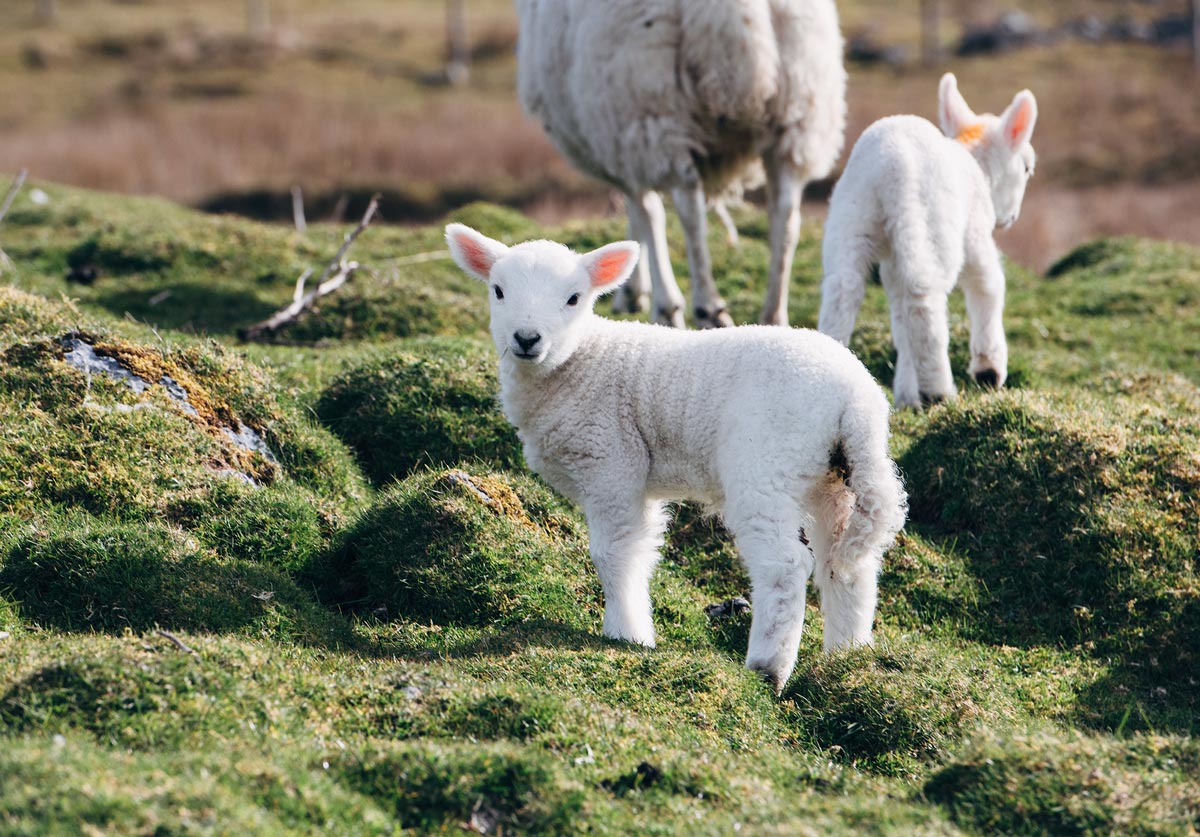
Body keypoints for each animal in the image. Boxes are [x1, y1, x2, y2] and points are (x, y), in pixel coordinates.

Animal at [446, 221, 902, 690]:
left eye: (574, 298)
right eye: (498, 290)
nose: (527, 339)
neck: (581, 361)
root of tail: (857, 399)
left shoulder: (611, 461)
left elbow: (615, 552)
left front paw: (626, 635)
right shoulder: (635, 475)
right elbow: (641, 549)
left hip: (766, 462)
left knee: (785, 565)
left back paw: (767, 668)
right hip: (831, 476)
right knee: (847, 564)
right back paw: (845, 657)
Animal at [516, 0, 844, 330]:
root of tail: (733, 11)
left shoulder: (621, 137)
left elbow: (646, 211)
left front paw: (652, 299)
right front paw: (632, 287)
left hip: (651, 105)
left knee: (690, 212)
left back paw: (707, 306)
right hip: (799, 113)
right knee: (785, 219)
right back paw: (773, 316)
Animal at [816, 74, 1041, 407]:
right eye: (1026, 169)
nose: (1011, 217)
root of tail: (889, 165)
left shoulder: (893, 262)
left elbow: (898, 319)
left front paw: (907, 392)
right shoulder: (975, 233)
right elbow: (988, 286)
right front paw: (989, 370)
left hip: (854, 217)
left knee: (845, 289)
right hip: (931, 223)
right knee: (924, 298)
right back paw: (939, 391)